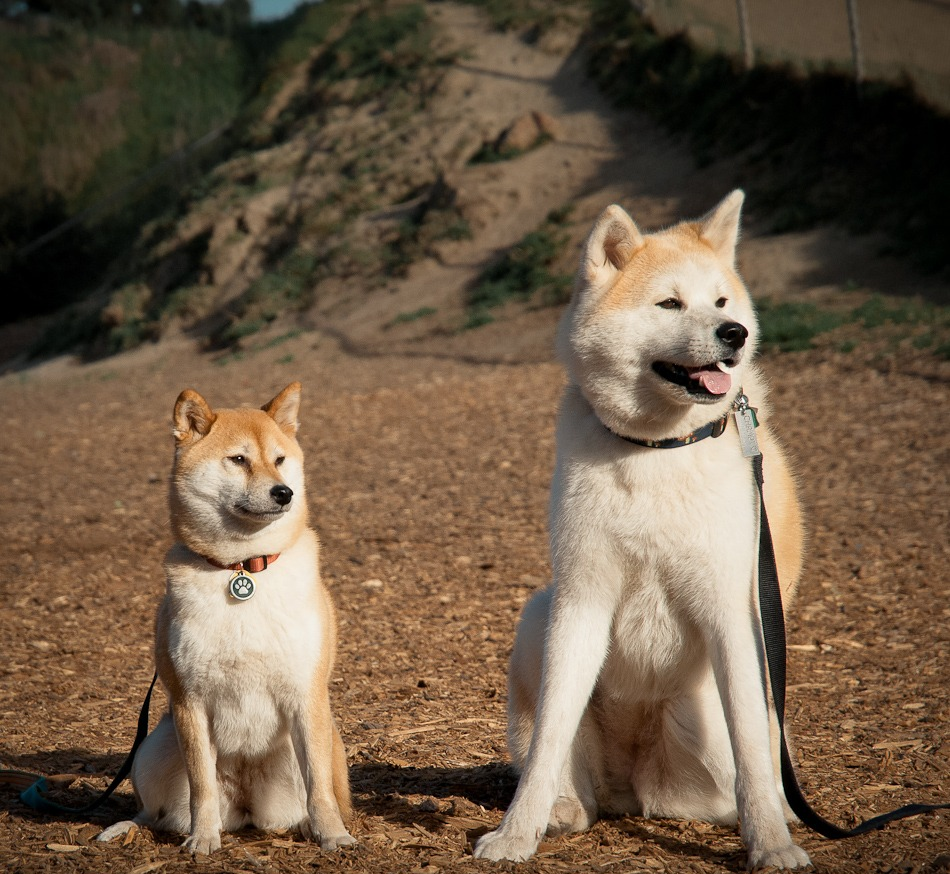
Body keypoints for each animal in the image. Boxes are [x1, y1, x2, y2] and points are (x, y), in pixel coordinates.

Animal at [98, 380, 356, 852]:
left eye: (280, 460)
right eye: (238, 459)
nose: (284, 492)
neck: (243, 569)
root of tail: (246, 807)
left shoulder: (306, 695)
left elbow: (320, 791)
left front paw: (333, 835)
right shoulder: (189, 702)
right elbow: (201, 788)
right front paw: (202, 840)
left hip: (322, 742)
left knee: (310, 799)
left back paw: (307, 827)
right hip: (153, 747)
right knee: (153, 813)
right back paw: (124, 829)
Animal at [476, 194, 812, 868]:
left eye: (721, 301)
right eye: (670, 303)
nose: (733, 334)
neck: (658, 449)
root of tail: (633, 786)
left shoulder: (732, 612)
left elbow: (753, 750)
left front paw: (770, 842)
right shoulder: (581, 599)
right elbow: (549, 736)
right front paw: (516, 834)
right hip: (538, 614)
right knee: (568, 775)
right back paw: (561, 811)